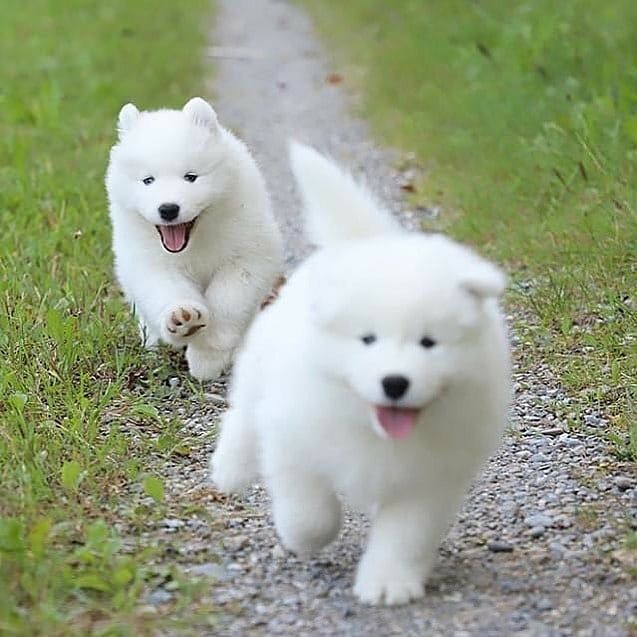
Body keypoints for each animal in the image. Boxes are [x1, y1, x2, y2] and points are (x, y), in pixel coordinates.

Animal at [105, 97, 280, 380]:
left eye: (191, 177)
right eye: (148, 180)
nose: (168, 209)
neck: (196, 241)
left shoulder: (248, 253)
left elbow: (228, 297)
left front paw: (208, 355)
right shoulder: (149, 261)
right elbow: (166, 290)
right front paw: (182, 320)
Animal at [211, 144, 510, 608]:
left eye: (429, 342)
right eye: (367, 339)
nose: (395, 383)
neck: (372, 428)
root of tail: (364, 245)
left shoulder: (430, 479)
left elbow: (404, 535)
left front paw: (389, 583)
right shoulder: (293, 436)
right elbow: (309, 509)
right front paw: (304, 538)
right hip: (261, 365)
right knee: (243, 414)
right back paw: (230, 469)